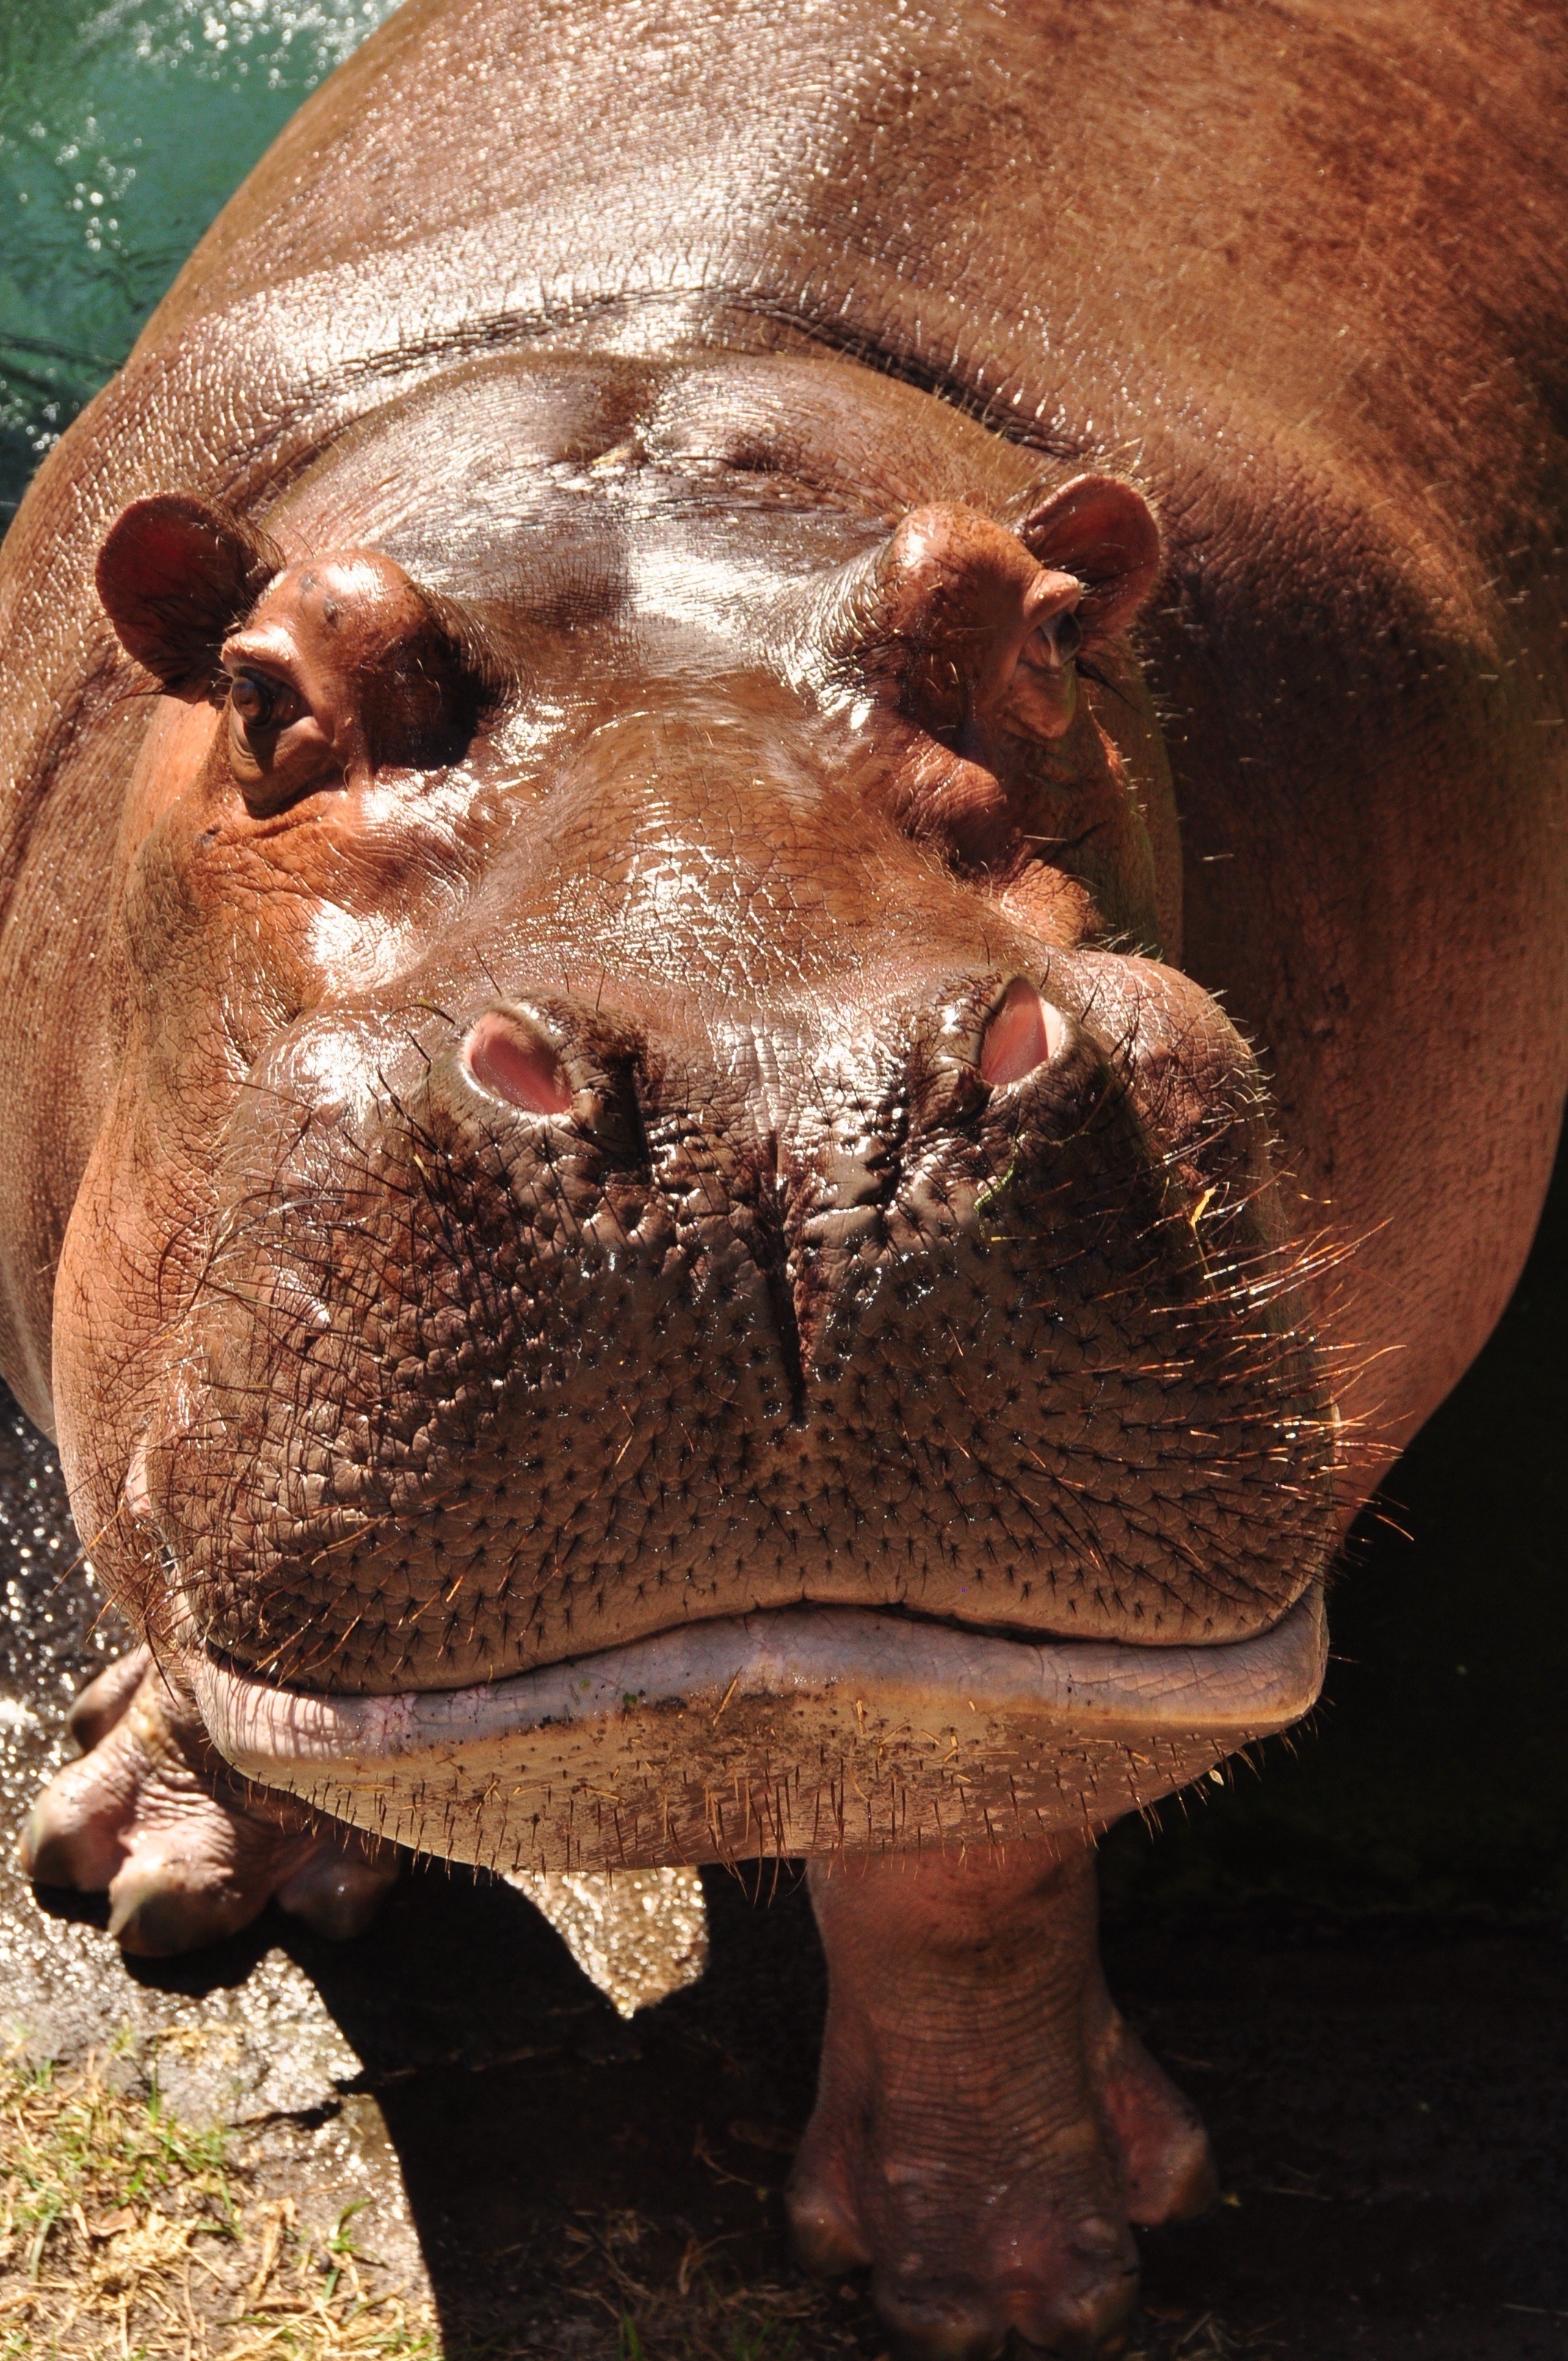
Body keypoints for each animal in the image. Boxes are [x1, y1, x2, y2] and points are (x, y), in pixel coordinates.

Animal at [1, 0, 1563, 2351]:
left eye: (1037, 633)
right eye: (273, 696)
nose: (767, 1106)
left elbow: (967, 1856)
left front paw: (1008, 2277)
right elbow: (161, 1577)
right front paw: (153, 1874)